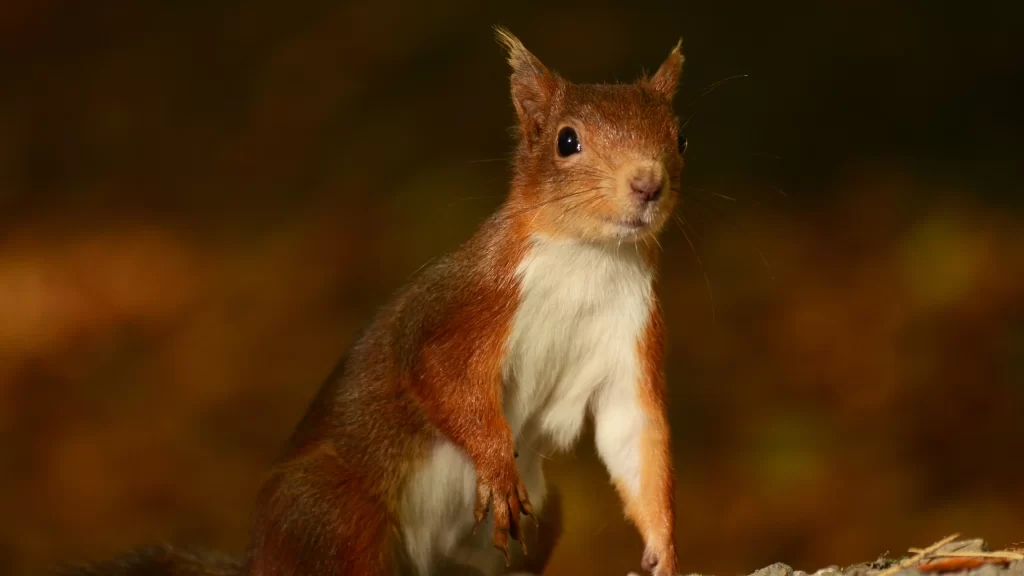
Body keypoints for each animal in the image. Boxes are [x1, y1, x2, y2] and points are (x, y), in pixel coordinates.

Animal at [59, 27, 688, 576]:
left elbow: (632, 434)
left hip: (539, 516)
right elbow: (437, 372)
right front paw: (492, 463)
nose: (647, 184)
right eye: (567, 141)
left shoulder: (631, 333)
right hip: (333, 514)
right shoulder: (474, 301)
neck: (589, 259)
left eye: (680, 137)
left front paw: (663, 549)